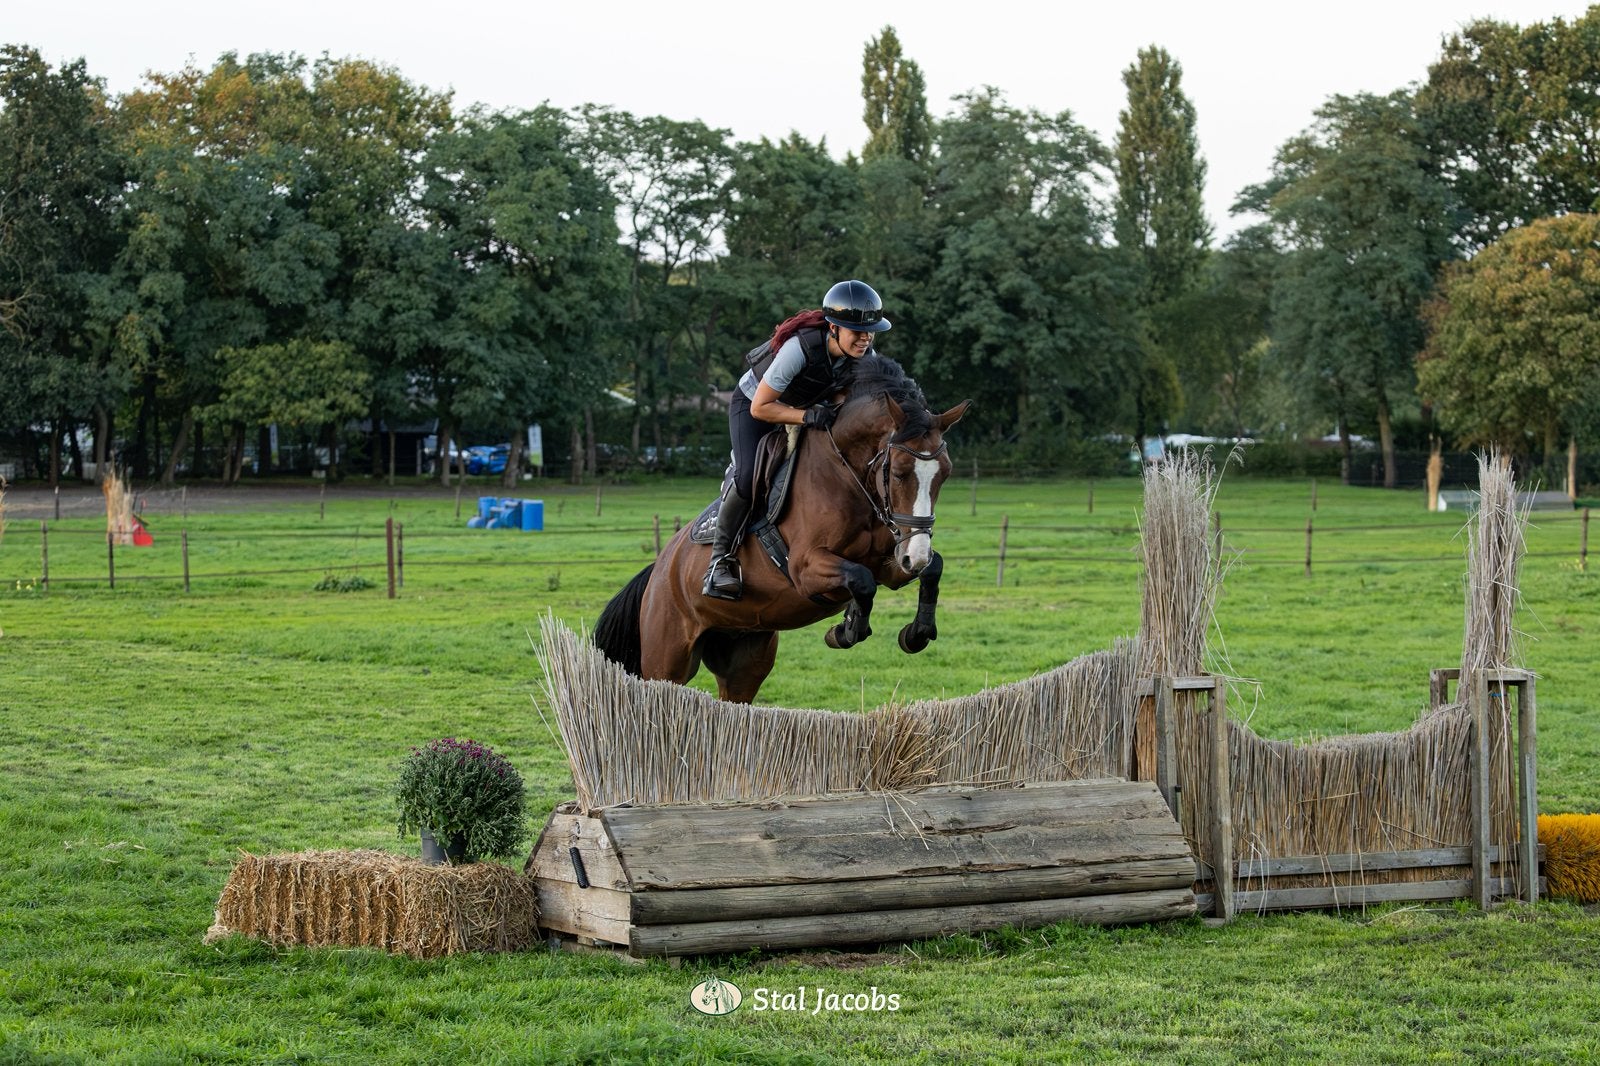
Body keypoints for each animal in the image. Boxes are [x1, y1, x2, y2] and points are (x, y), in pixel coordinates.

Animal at [593, 356, 970, 704]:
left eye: (945, 473)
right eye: (900, 472)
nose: (914, 556)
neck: (848, 476)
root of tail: (659, 569)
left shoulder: (890, 562)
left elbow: (930, 569)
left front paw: (916, 633)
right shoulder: (805, 569)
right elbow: (861, 580)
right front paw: (846, 630)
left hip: (745, 656)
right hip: (666, 657)